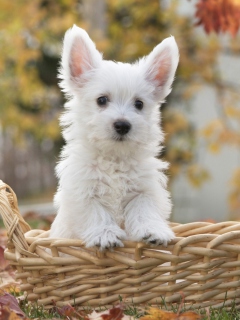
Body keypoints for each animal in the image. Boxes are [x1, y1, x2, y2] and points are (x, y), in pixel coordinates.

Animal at [50, 25, 178, 250]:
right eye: (101, 100)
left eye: (139, 104)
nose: (122, 125)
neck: (114, 157)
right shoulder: (83, 191)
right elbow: (96, 212)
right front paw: (105, 235)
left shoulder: (144, 189)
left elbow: (144, 209)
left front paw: (154, 231)